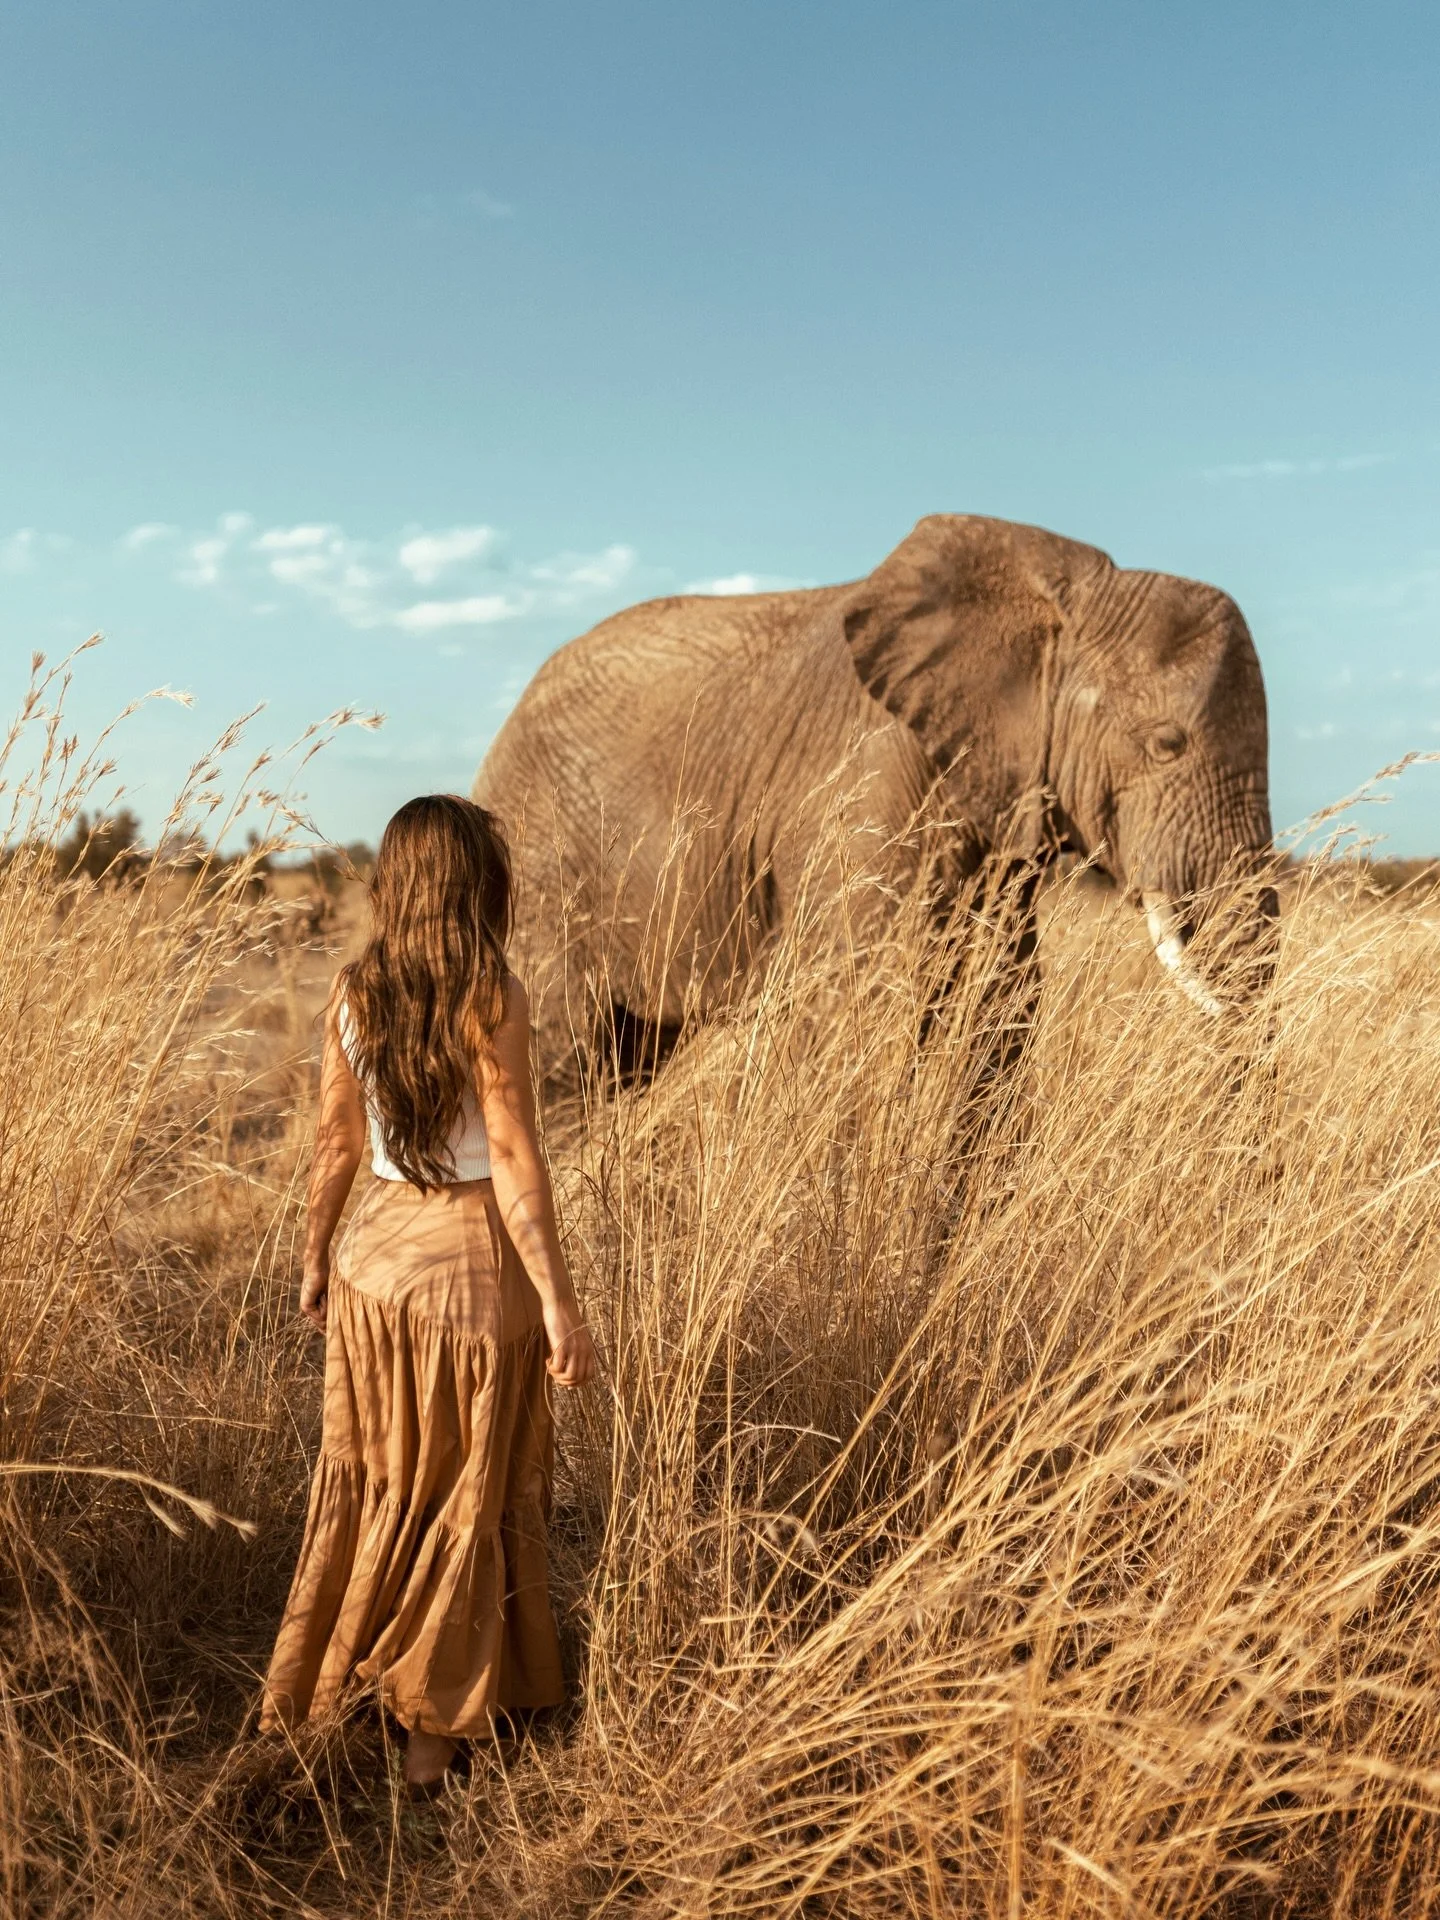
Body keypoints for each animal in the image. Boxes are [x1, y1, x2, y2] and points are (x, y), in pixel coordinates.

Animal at [474, 514, 1277, 1069]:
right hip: (540, 868)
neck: (1056, 601)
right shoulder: (870, 786)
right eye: (1166, 744)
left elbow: (998, 1011)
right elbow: (863, 1012)